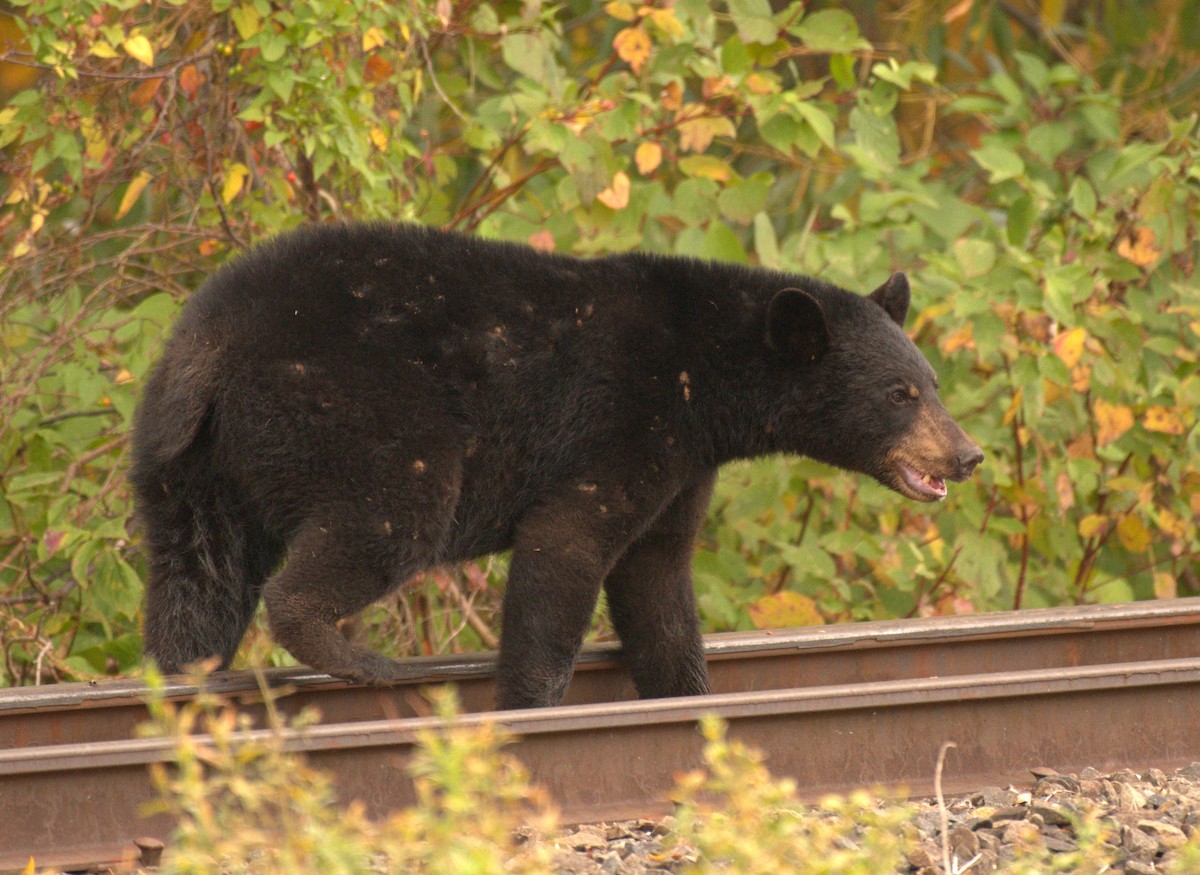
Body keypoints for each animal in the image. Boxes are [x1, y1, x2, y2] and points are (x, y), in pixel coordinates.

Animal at [131, 221, 983, 709]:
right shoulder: (622, 422)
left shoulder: (683, 464)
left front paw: (685, 693)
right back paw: (361, 660)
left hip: (192, 460)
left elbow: (656, 578)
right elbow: (565, 550)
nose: (967, 454)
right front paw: (528, 706)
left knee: (198, 575)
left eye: (932, 382)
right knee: (387, 518)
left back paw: (185, 680)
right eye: (901, 393)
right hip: (359, 410)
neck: (703, 378)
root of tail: (211, 343)